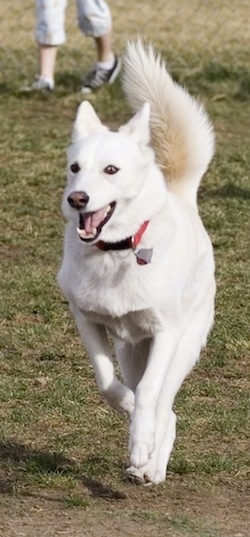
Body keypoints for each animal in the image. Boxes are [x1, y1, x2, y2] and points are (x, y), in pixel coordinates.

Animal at [57, 40, 216, 486]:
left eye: (111, 170)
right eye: (75, 168)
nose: (77, 198)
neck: (117, 251)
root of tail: (184, 199)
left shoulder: (166, 332)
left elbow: (149, 394)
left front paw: (142, 441)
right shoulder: (87, 321)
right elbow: (107, 383)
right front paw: (127, 411)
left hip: (182, 347)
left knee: (165, 407)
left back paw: (150, 463)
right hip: (131, 350)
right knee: (160, 403)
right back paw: (141, 457)